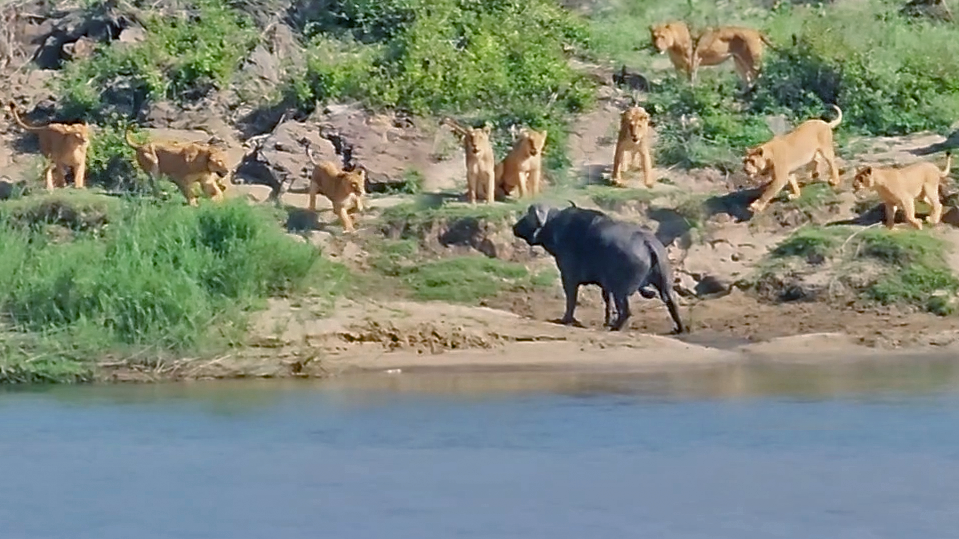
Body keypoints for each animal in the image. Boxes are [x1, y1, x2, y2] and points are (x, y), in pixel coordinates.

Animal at [512, 202, 686, 333]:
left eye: (527, 216)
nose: (515, 227)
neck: (555, 226)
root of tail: (647, 242)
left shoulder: (568, 278)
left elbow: (571, 300)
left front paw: (566, 320)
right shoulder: (605, 284)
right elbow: (607, 301)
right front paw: (607, 320)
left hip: (621, 290)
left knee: (626, 311)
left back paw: (616, 328)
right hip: (664, 284)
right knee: (672, 303)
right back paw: (679, 328)